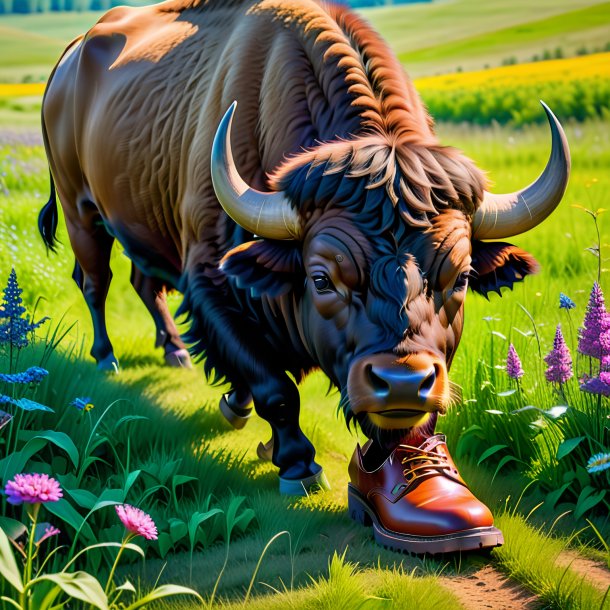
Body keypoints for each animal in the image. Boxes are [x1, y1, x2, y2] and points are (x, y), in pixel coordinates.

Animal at [40, 0, 568, 552]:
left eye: (461, 277)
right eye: (321, 278)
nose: (402, 383)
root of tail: (71, 56)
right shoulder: (209, 282)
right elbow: (276, 387)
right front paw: (297, 464)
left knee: (145, 284)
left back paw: (176, 352)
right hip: (80, 210)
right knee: (95, 282)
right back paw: (107, 359)